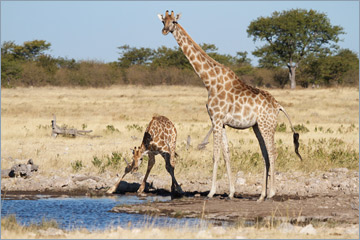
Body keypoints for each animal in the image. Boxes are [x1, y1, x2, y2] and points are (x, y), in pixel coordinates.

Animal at [158, 10, 300, 202]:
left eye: (174, 21)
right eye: (162, 21)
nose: (165, 30)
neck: (209, 82)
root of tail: (278, 106)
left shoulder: (216, 119)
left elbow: (215, 155)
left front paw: (211, 192)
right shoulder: (222, 122)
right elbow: (226, 154)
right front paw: (231, 192)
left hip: (267, 125)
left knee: (272, 152)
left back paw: (271, 193)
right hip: (258, 126)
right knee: (265, 154)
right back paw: (261, 195)